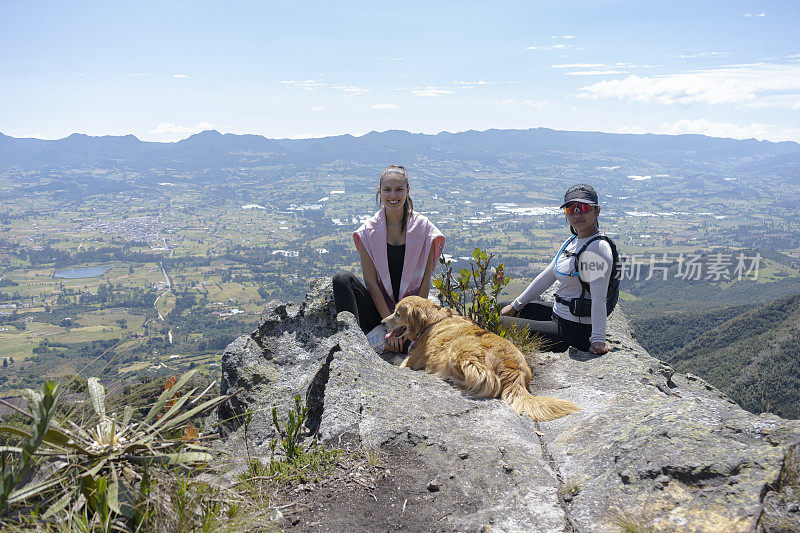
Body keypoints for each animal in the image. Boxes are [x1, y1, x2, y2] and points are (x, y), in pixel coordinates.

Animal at [382, 296, 580, 420]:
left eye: (398, 314)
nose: (383, 322)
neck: (433, 321)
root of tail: (514, 368)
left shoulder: (411, 361)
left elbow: (401, 362)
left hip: (458, 351)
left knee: (488, 383)